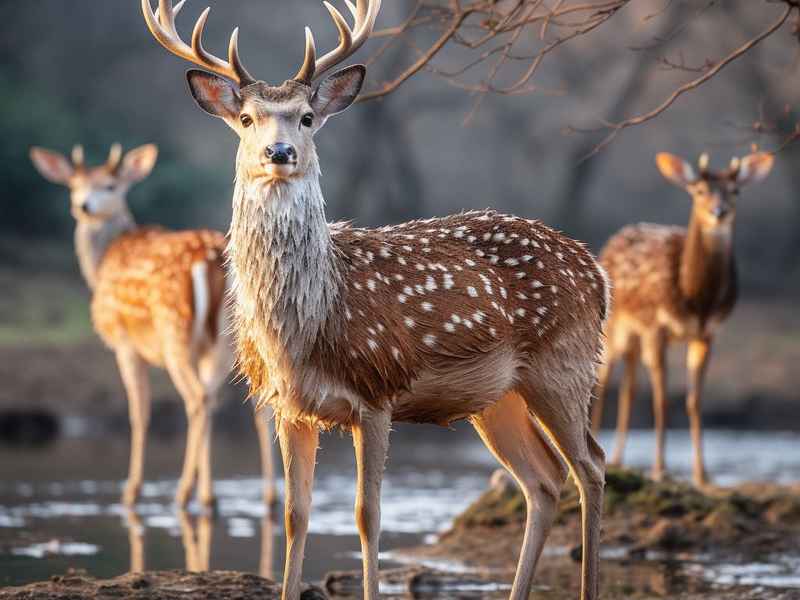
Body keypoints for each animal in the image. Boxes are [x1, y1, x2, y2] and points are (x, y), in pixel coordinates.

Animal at [29, 143, 276, 510]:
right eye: (75, 185)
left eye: (110, 186)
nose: (83, 206)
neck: (100, 265)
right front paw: (207, 491)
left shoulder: (123, 342)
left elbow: (139, 411)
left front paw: (130, 492)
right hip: (232, 342)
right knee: (246, 403)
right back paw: (256, 497)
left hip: (174, 330)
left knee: (197, 399)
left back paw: (183, 493)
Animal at [141, 1, 609, 599]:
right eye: (246, 119)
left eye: (306, 117)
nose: (279, 152)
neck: (305, 326)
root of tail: (596, 272)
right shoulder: (287, 405)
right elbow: (295, 515)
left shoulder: (377, 391)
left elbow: (368, 515)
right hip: (497, 396)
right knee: (544, 481)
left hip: (564, 362)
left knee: (590, 466)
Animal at [591, 151, 774, 488]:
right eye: (699, 191)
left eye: (735, 191)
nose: (719, 212)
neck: (696, 300)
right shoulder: (657, 327)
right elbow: (662, 398)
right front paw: (659, 469)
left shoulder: (708, 333)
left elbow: (693, 400)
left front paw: (703, 475)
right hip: (614, 327)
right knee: (604, 379)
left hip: (634, 336)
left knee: (629, 386)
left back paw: (619, 459)